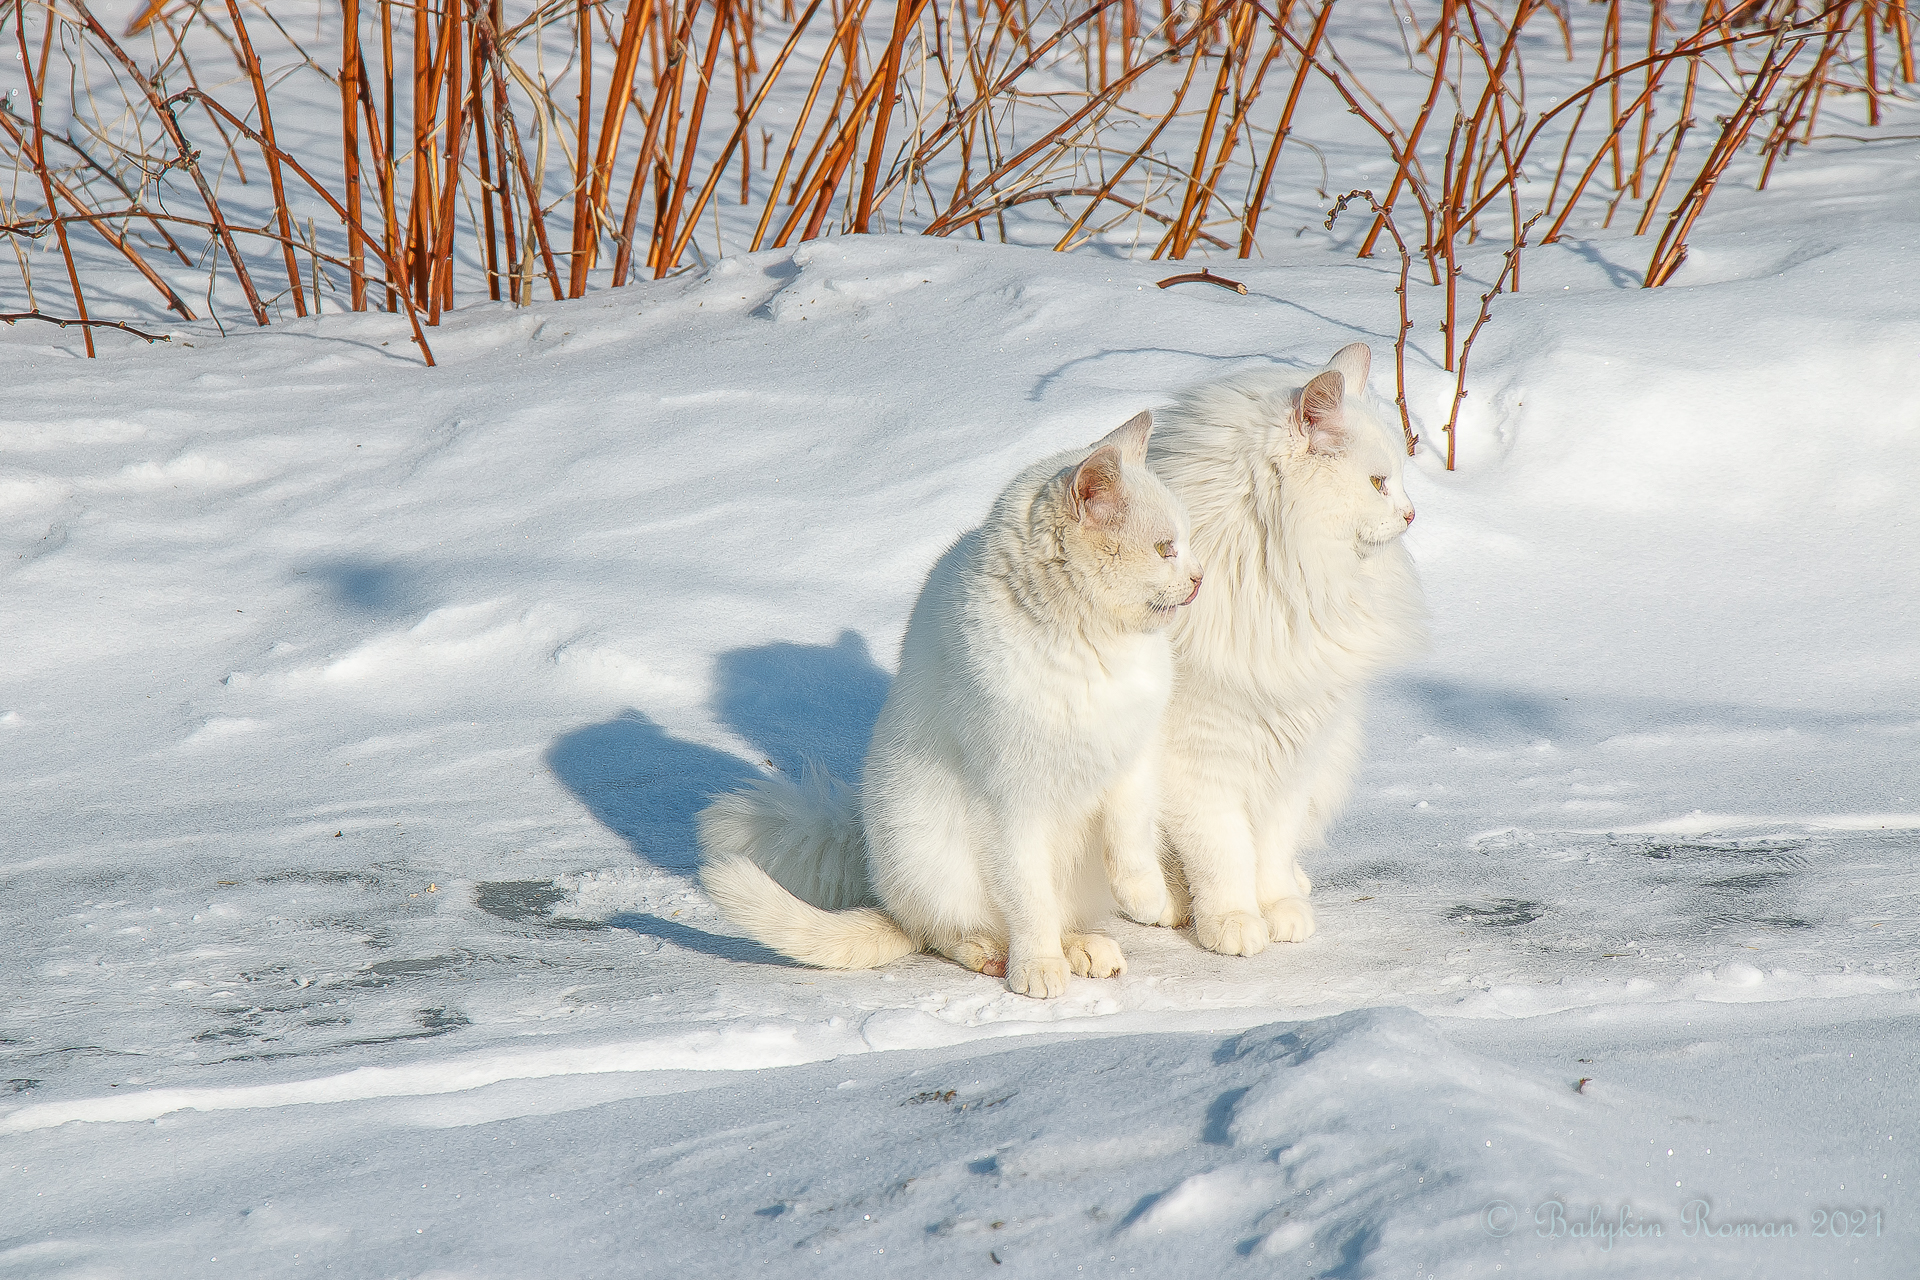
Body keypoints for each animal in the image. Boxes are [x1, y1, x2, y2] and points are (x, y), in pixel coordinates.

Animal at [691, 416, 1198, 997]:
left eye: (1185, 543)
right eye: (1165, 548)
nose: (1199, 577)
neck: (1093, 649)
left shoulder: (1130, 762)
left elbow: (1129, 844)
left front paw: (1148, 900)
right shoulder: (1010, 802)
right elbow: (1028, 896)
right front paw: (1037, 965)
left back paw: (1093, 942)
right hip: (923, 846)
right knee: (949, 931)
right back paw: (1002, 953)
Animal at [1136, 345, 1428, 955]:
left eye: (1396, 481)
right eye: (1378, 482)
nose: (1412, 514)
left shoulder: (1294, 753)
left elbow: (1269, 847)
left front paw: (1279, 911)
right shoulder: (1199, 759)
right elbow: (1222, 853)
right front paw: (1232, 922)